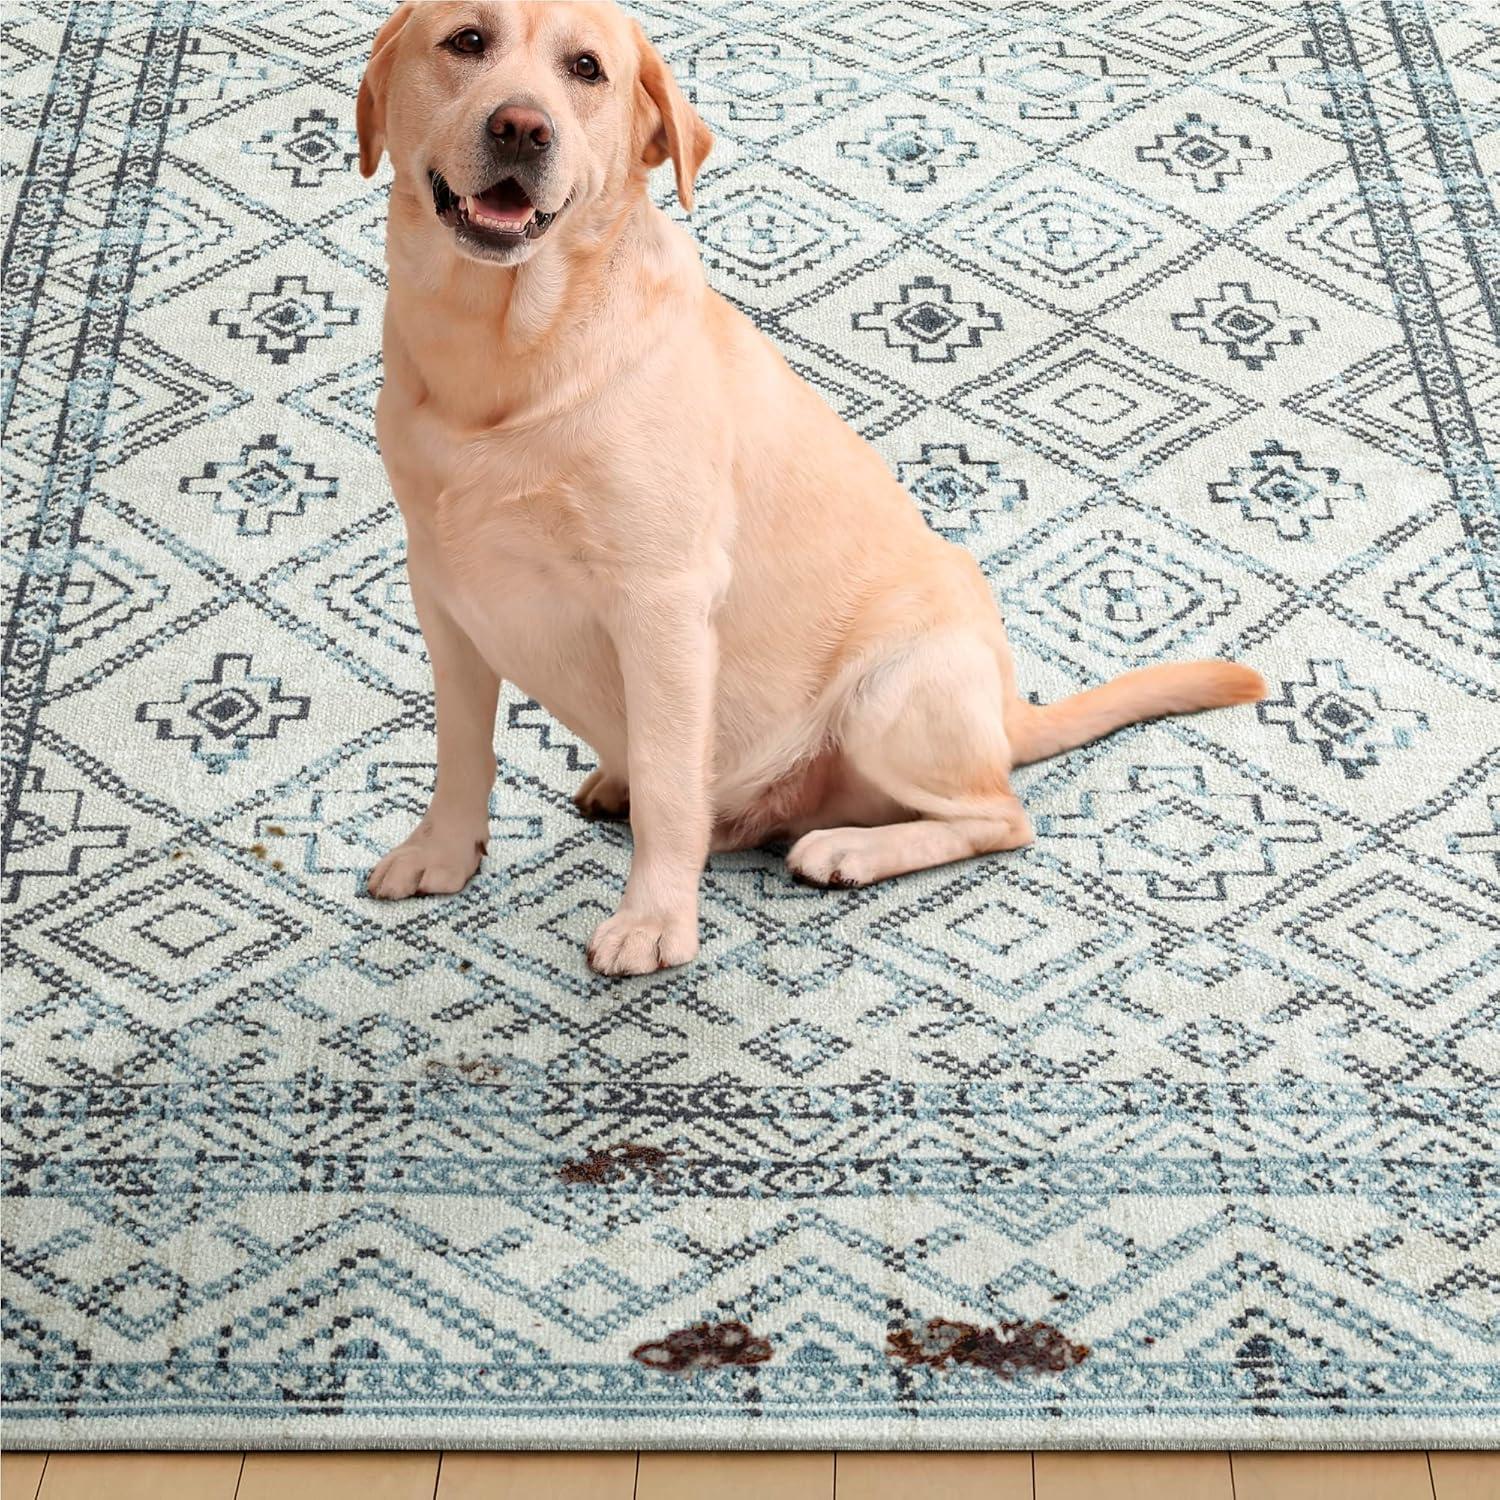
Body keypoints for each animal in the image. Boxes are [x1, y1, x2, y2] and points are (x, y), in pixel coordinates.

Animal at [354, 0, 1266, 978]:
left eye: (586, 69)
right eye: (468, 42)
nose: (522, 127)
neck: (501, 359)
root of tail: (1007, 715)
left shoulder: (662, 604)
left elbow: (673, 789)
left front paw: (654, 919)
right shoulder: (444, 593)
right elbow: (460, 750)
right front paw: (442, 853)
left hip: (888, 694)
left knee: (998, 816)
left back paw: (847, 850)